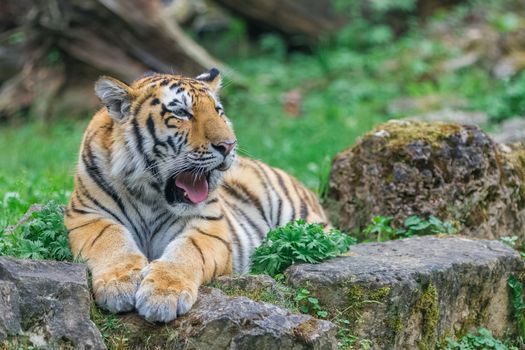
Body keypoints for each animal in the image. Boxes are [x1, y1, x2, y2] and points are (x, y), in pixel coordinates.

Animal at [62, 69, 328, 322]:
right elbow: (111, 240)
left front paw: (162, 295)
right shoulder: (87, 215)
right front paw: (119, 285)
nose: (229, 145)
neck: (150, 195)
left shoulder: (208, 226)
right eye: (181, 113)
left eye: (218, 111)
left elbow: (185, 252)